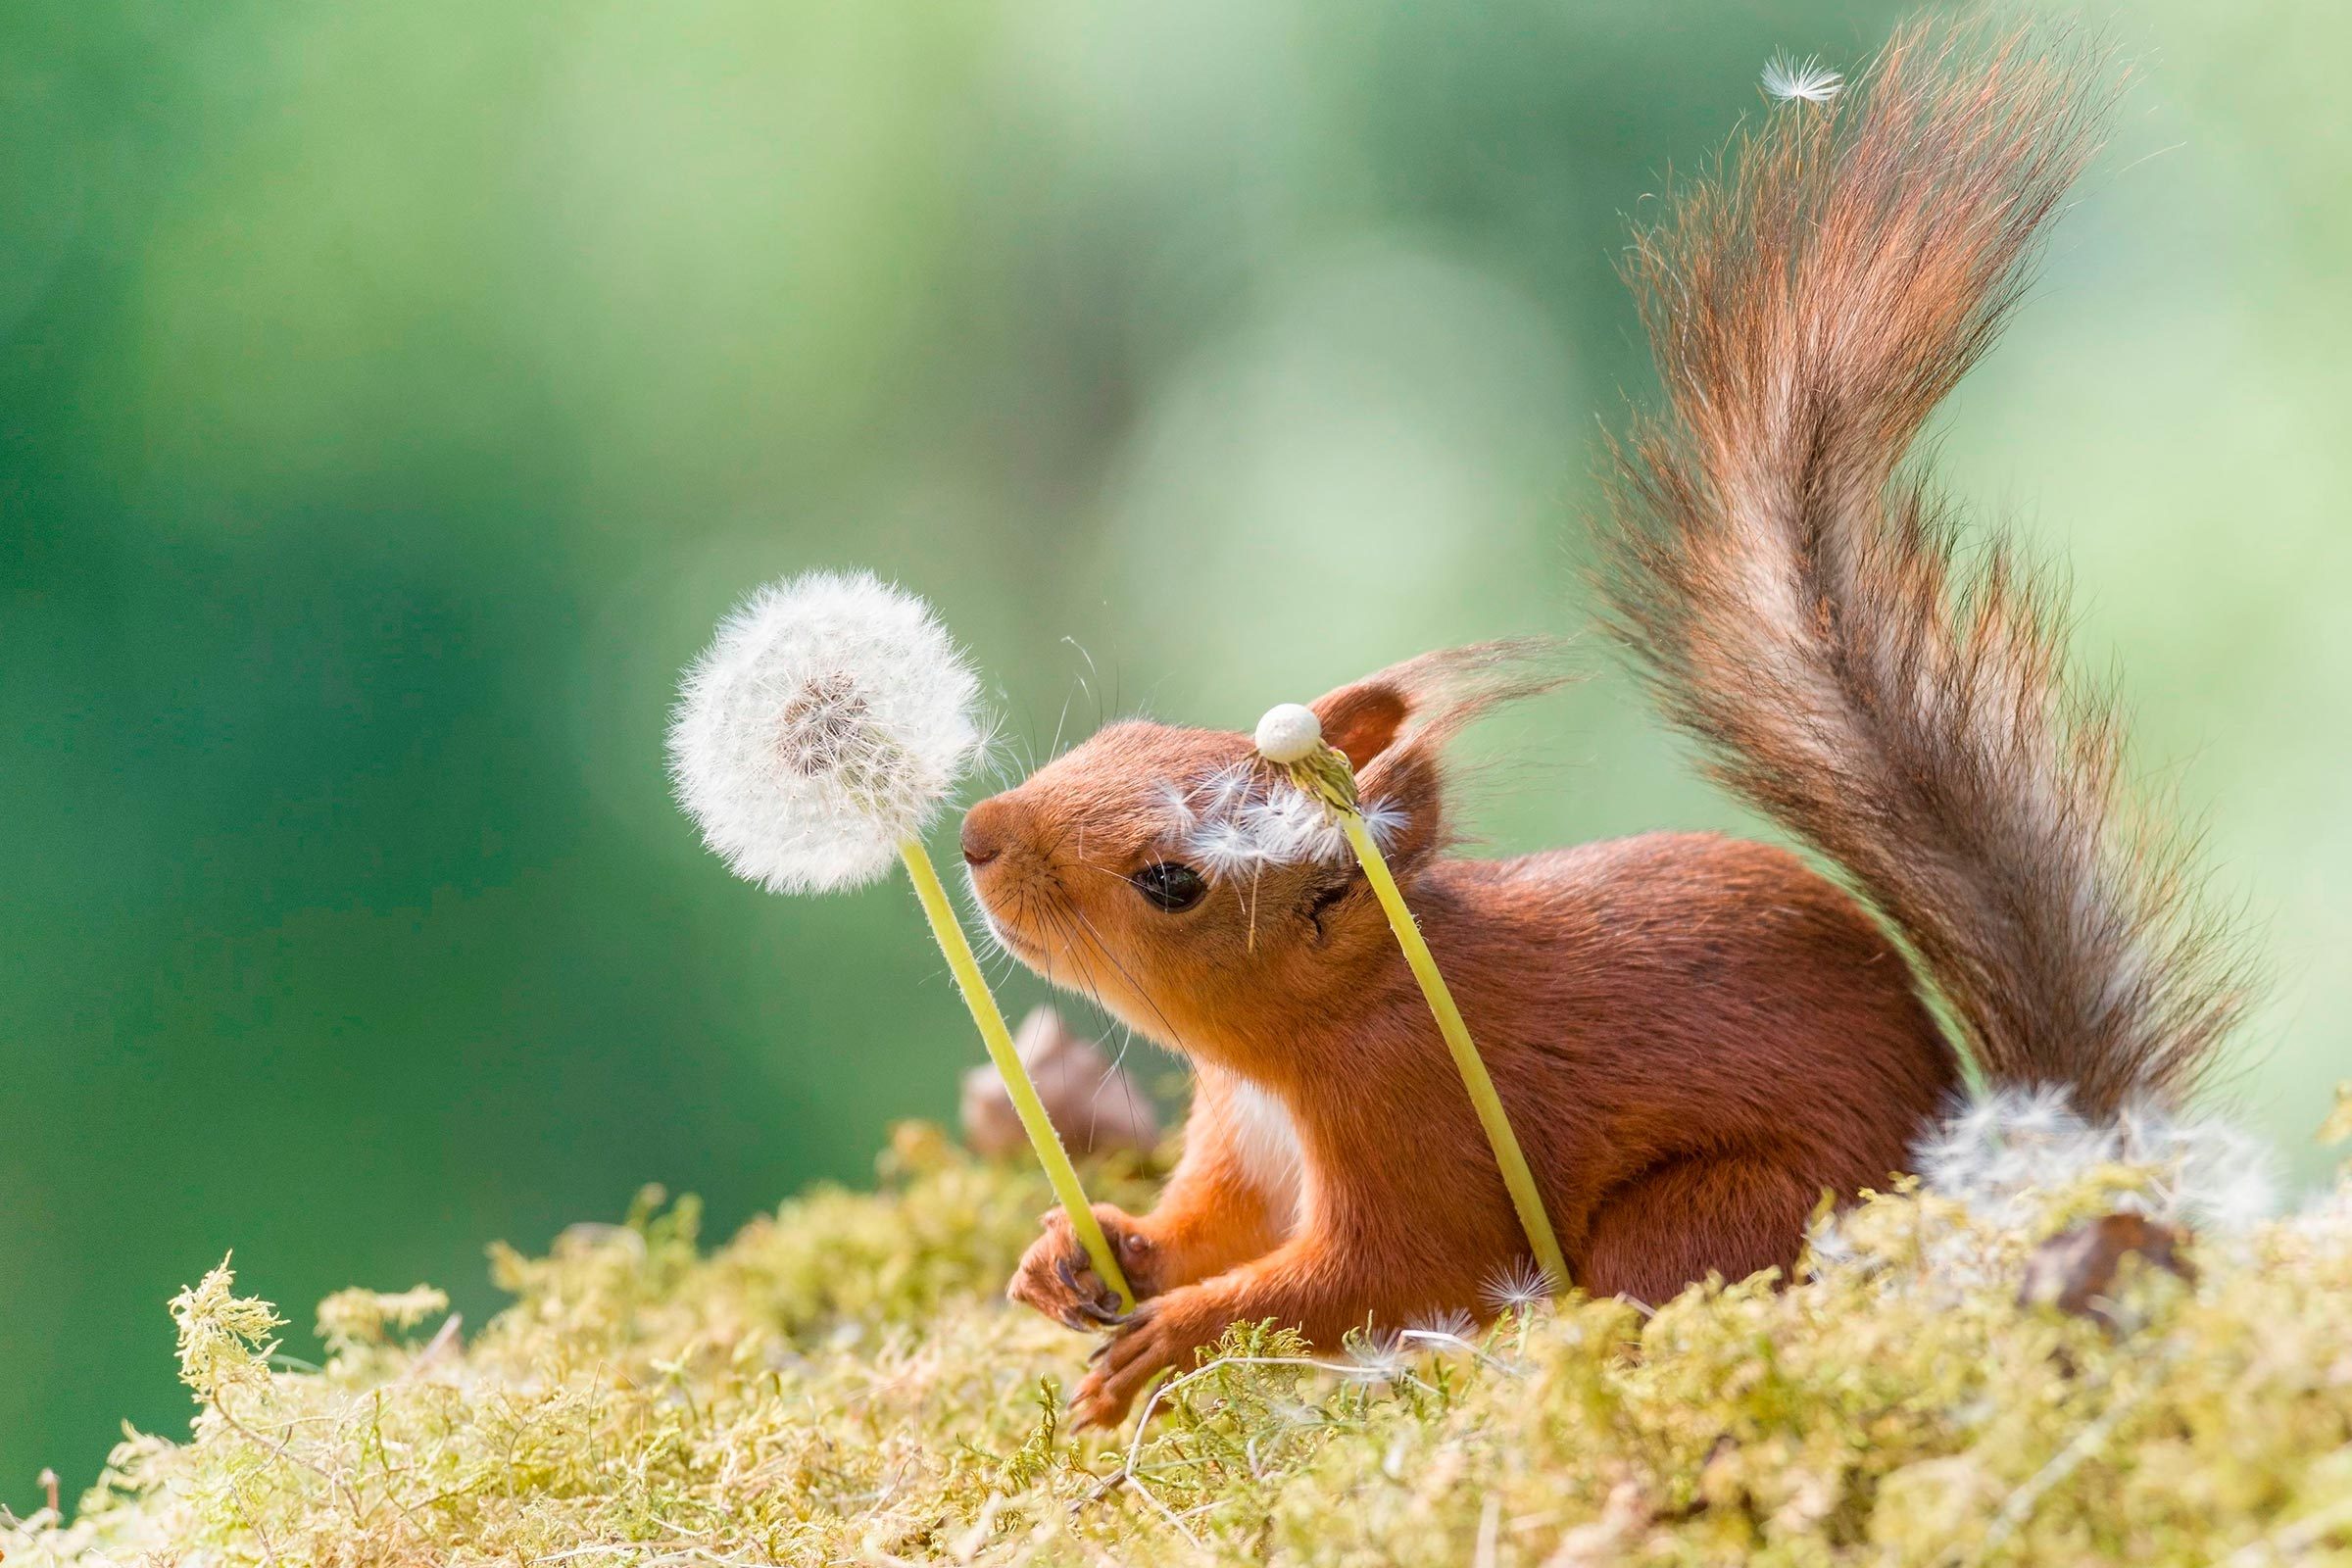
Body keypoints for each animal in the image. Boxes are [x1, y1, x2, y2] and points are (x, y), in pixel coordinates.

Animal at [958, 24, 2249, 1428]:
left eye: (1171, 880)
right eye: (1126, 731)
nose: (975, 835)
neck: (1303, 1047)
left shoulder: (1423, 1124)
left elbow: (1382, 1274)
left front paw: (1171, 1338)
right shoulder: (1246, 1150)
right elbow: (1211, 1228)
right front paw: (1078, 1253)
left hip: (1708, 1218)